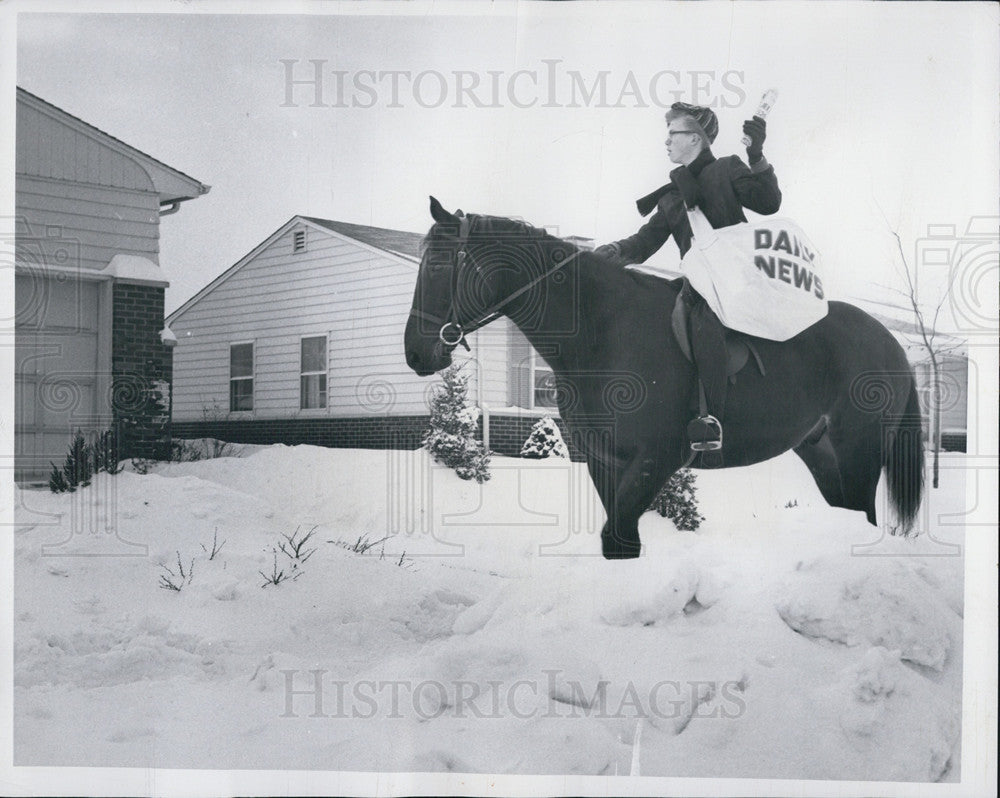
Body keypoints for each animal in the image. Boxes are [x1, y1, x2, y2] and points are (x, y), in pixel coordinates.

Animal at [404, 198, 920, 564]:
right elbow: (619, 545)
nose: (415, 353)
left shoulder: (656, 458)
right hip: (822, 452)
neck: (603, 329)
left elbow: (618, 536)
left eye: (437, 266)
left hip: (859, 452)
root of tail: (890, 342)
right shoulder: (603, 460)